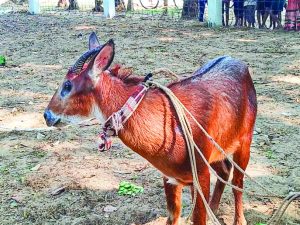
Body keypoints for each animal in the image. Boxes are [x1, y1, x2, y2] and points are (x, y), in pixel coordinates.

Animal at [43, 33, 256, 225]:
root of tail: (240, 63)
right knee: (225, 170)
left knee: (238, 181)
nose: (47, 115)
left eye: (67, 85)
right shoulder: (171, 176)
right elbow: (173, 217)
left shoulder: (200, 173)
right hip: (219, 147)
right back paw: (214, 210)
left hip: (245, 138)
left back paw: (239, 219)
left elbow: (198, 218)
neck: (172, 129)